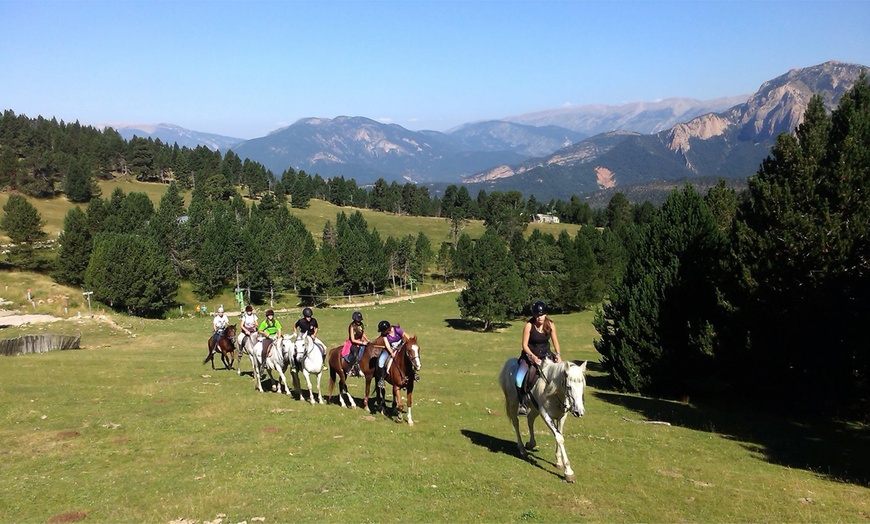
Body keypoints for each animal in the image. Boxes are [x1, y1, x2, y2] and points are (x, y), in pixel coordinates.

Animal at [500, 356, 588, 484]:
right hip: (513, 401)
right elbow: (559, 438)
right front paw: (568, 472)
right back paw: (522, 449)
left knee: (530, 419)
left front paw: (559, 462)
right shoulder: (545, 414)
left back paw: (530, 444)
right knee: (516, 422)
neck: (554, 391)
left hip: (534, 408)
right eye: (569, 387)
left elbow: (559, 436)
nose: (578, 411)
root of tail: (509, 362)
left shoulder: (562, 417)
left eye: (582, 386)